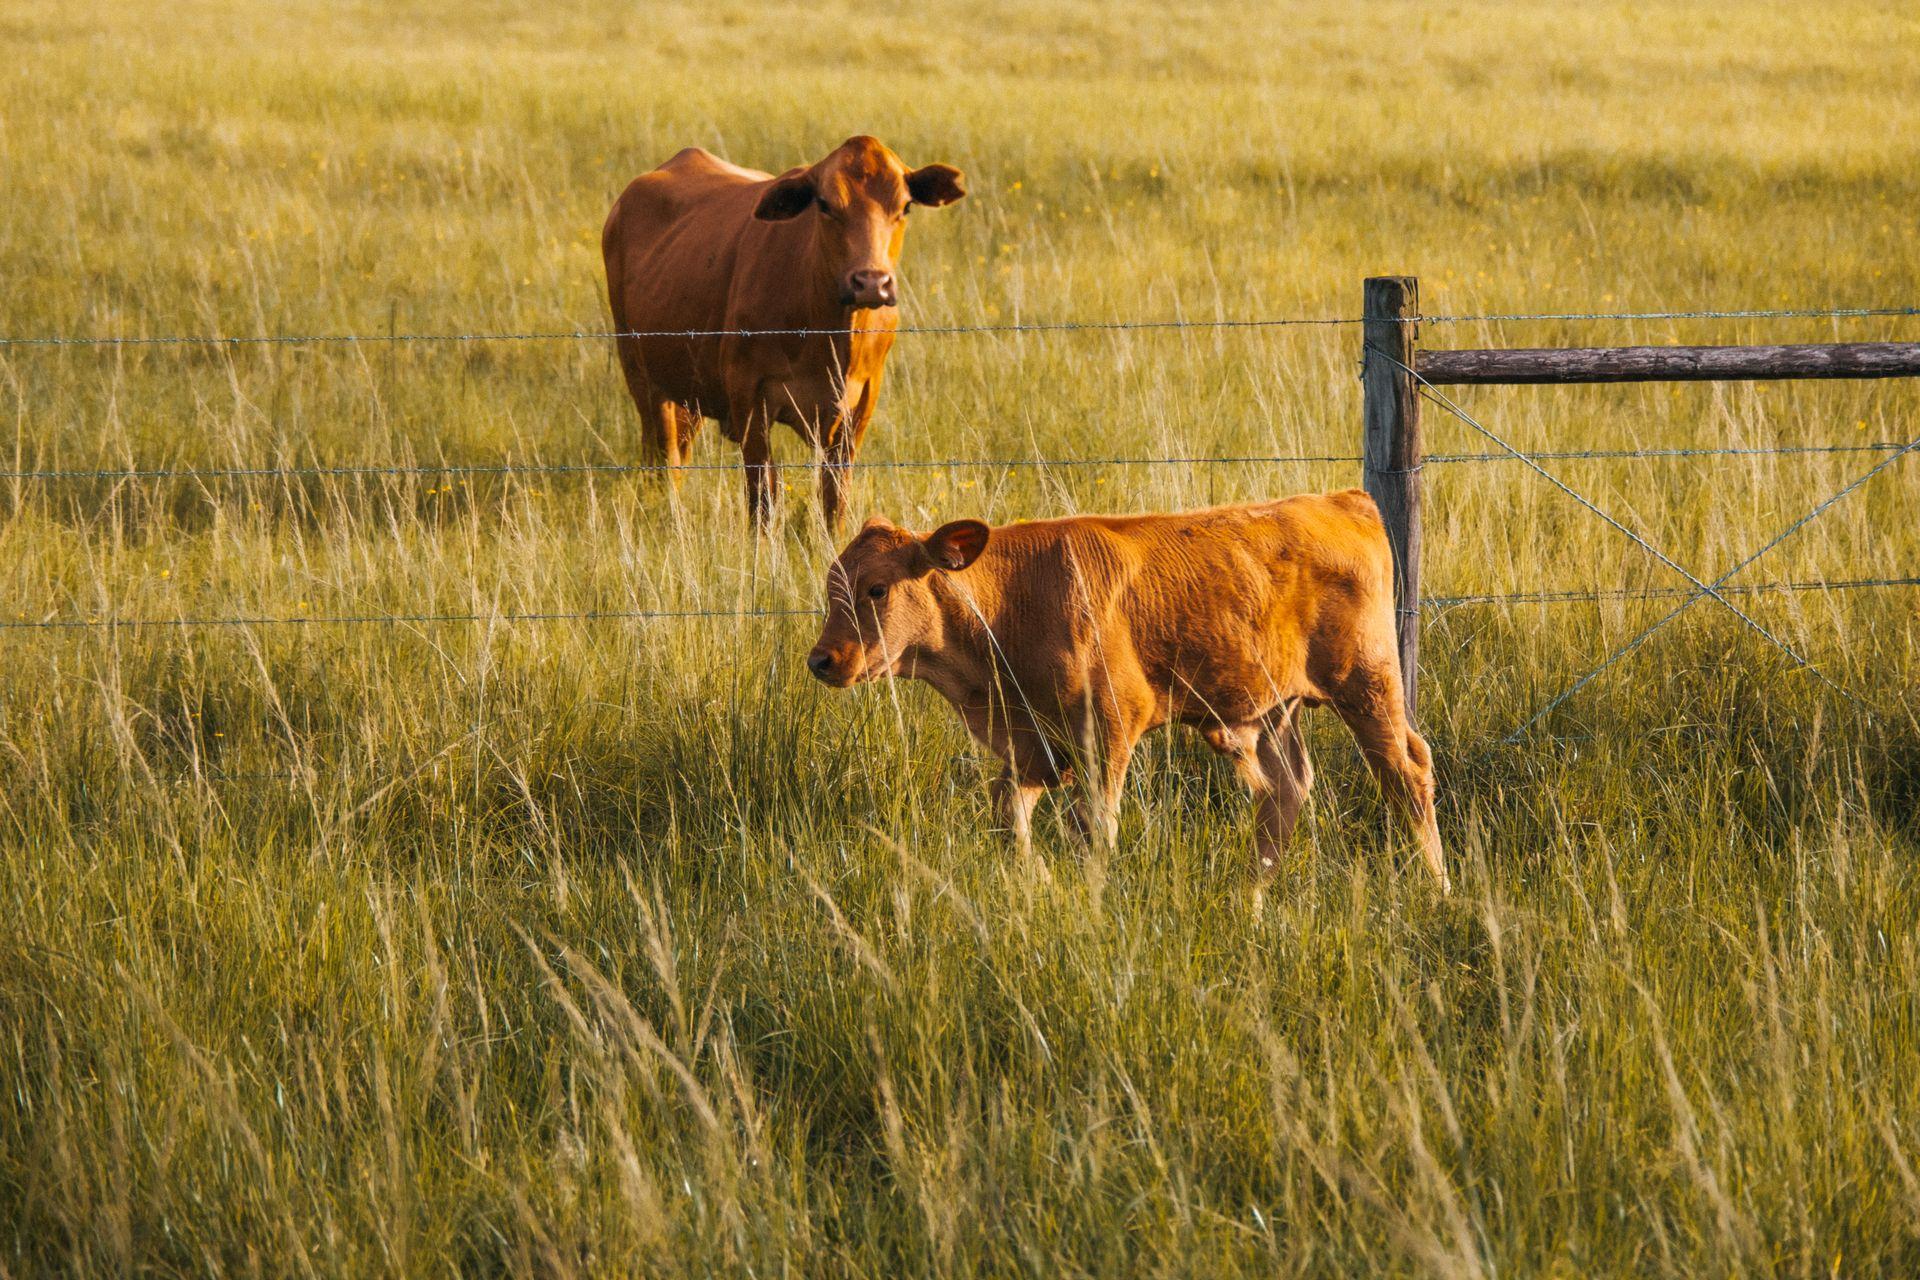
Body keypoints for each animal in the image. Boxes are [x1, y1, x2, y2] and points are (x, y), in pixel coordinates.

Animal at [601, 136, 966, 530]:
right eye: (825, 204)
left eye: (905, 206)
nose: (871, 283)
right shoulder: (748, 396)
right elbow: (763, 496)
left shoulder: (861, 403)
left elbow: (834, 500)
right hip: (641, 375)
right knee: (662, 458)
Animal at [804, 491, 1450, 893]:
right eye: (833, 584)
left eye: (878, 588)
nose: (822, 660)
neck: (1012, 603)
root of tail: (1342, 500)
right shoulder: (1035, 747)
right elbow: (1008, 813)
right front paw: (1038, 883)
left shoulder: (1110, 728)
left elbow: (1096, 827)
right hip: (1270, 708)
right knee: (1283, 791)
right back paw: (1250, 901)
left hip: (1368, 686)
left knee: (1406, 772)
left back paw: (1435, 888)